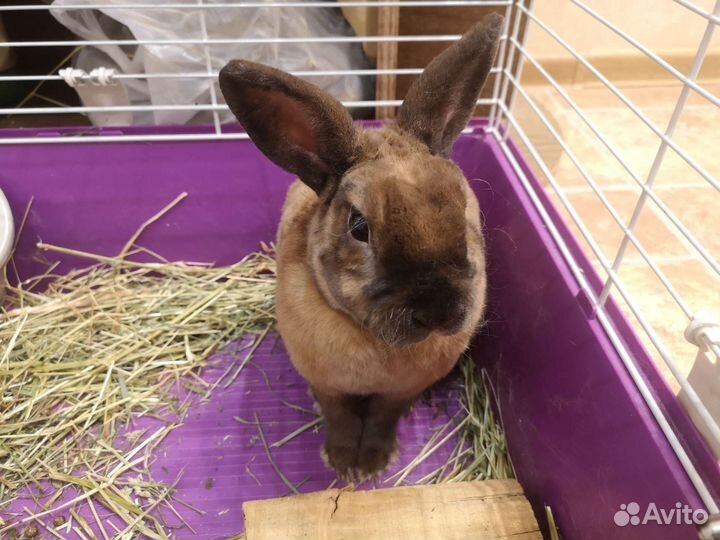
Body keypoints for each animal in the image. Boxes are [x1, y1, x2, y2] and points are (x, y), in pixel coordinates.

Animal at [219, 13, 503, 481]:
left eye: (463, 207)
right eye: (359, 227)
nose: (440, 312)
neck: (374, 342)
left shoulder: (400, 392)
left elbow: (384, 416)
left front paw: (371, 462)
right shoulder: (328, 384)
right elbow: (340, 416)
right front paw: (342, 462)